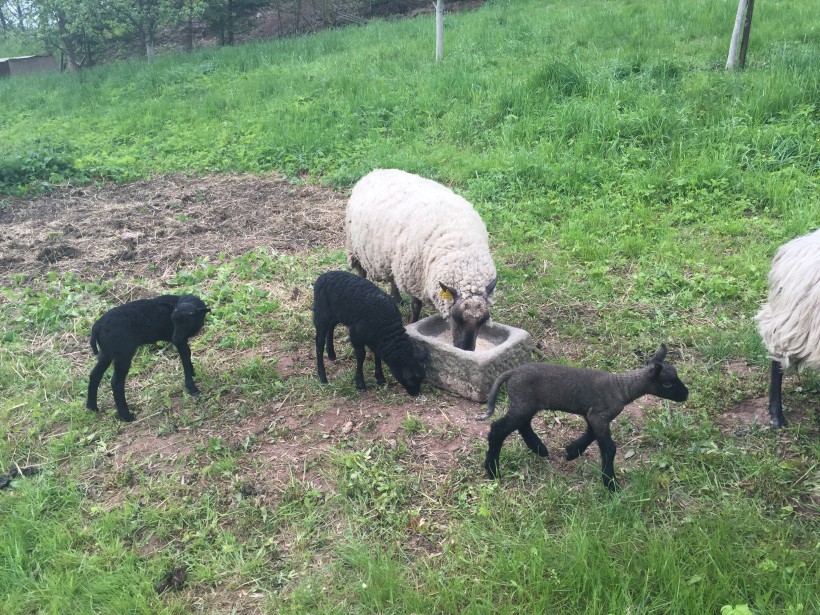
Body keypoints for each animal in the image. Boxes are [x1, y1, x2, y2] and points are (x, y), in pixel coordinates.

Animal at [84, 294, 208, 424]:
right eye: (172, 320)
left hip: (106, 351)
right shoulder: (181, 341)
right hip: (122, 353)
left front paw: (193, 373)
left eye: (187, 322)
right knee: (116, 382)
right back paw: (126, 416)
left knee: (95, 375)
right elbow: (185, 358)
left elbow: (188, 355)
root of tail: (97, 327)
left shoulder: (183, 338)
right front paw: (192, 387)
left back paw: (92, 407)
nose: (174, 338)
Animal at [478, 344, 688, 494]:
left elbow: (590, 435)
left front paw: (572, 451)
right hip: (522, 403)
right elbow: (609, 448)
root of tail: (512, 372)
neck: (622, 388)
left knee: (522, 425)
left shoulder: (593, 415)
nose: (686, 394)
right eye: (668, 384)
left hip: (526, 404)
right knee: (498, 429)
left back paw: (539, 449)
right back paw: (492, 470)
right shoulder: (599, 416)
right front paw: (610, 484)